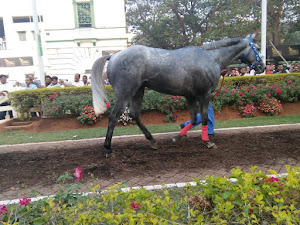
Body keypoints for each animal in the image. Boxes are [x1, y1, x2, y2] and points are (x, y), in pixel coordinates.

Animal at [91, 33, 264, 156]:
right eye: (257, 47)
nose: (262, 66)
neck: (211, 58)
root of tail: (114, 56)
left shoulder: (190, 95)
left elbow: (194, 118)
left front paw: (177, 136)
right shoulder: (204, 94)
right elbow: (204, 117)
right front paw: (207, 141)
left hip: (138, 91)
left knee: (134, 114)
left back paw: (152, 141)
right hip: (125, 93)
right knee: (114, 116)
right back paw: (108, 148)